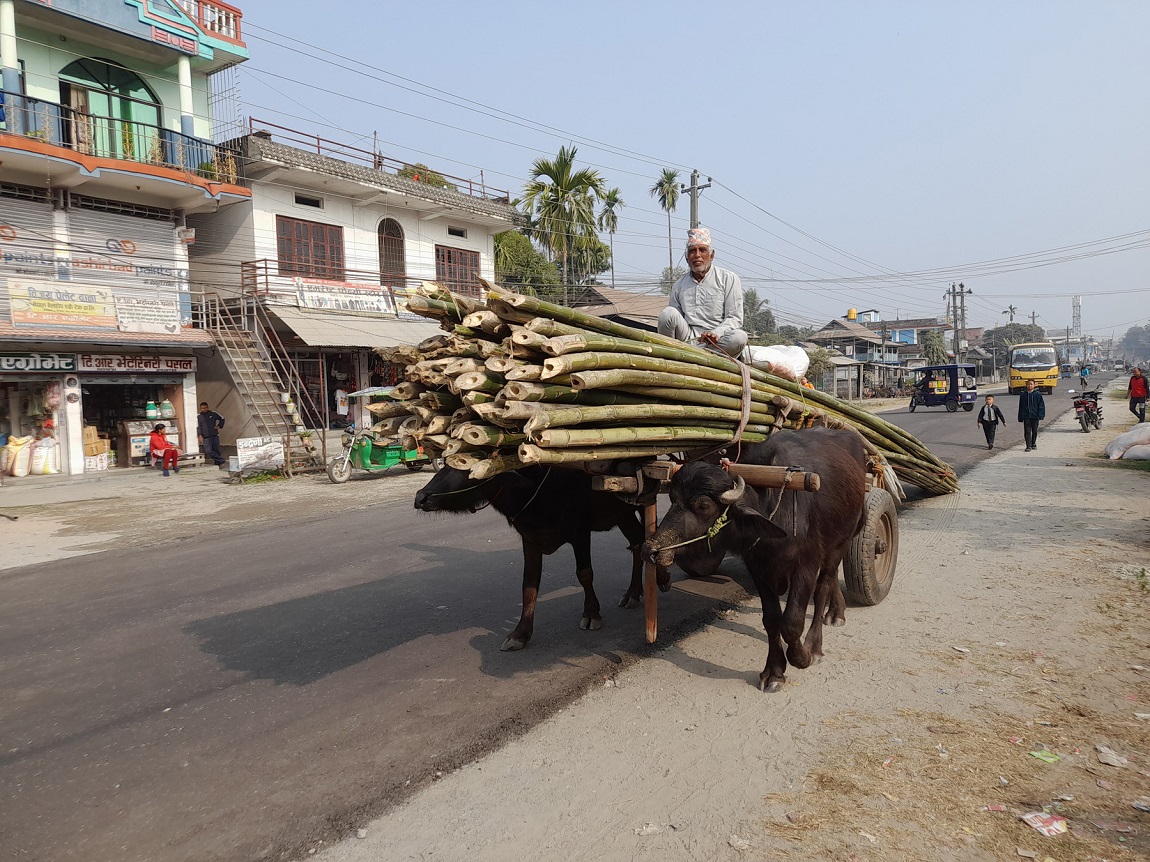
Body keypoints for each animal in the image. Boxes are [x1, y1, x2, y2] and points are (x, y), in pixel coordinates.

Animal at [416, 468, 667, 652]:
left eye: (467, 466)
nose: (421, 497)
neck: (535, 489)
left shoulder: (580, 532)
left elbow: (584, 574)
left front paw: (591, 614)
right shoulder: (530, 540)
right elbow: (529, 585)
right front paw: (520, 634)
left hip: (635, 506)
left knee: (645, 539)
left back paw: (658, 580)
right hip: (622, 514)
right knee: (638, 543)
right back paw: (633, 593)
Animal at [644, 432, 864, 694]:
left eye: (703, 506)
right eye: (672, 499)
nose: (653, 550)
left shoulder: (806, 565)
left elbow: (792, 621)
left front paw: (801, 658)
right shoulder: (757, 568)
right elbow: (771, 620)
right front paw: (774, 673)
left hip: (840, 544)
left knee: (823, 588)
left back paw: (816, 644)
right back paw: (836, 613)